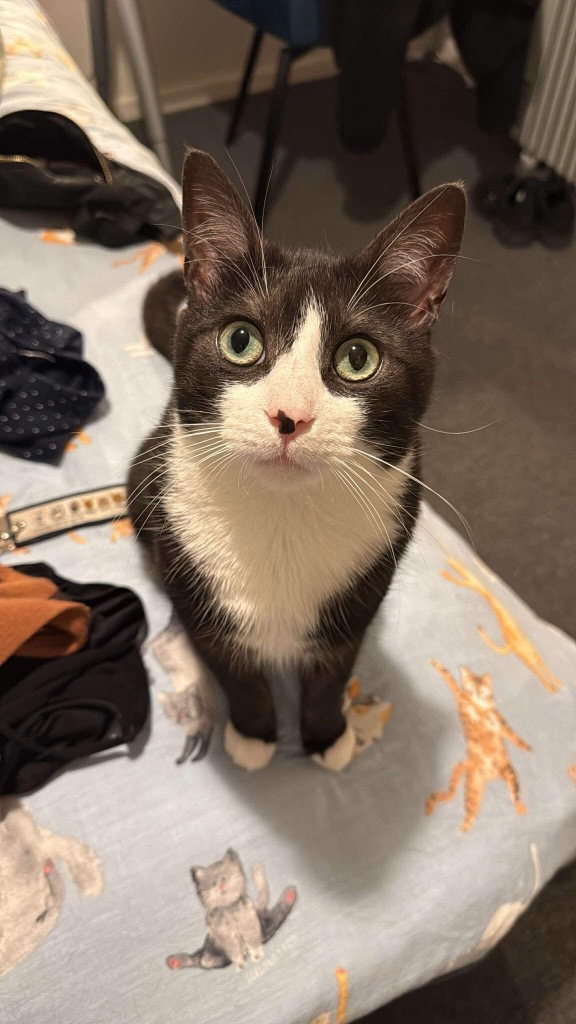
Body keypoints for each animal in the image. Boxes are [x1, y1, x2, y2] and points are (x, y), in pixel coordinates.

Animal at [128, 148, 466, 772]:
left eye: (358, 358)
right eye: (240, 340)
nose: (290, 415)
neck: (283, 518)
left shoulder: (362, 589)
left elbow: (332, 673)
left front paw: (327, 735)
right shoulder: (195, 582)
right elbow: (235, 672)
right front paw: (255, 734)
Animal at [166, 848, 296, 970]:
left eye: (224, 877)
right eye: (213, 883)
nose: (221, 885)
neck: (229, 909)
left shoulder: (250, 924)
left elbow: (253, 941)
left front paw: (257, 955)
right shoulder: (224, 935)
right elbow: (234, 950)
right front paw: (240, 964)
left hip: (265, 924)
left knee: (277, 914)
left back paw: (289, 894)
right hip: (211, 952)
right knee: (199, 960)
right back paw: (174, 962)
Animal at [425, 661, 531, 832]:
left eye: (480, 690)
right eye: (471, 688)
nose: (475, 694)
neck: (478, 707)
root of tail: (492, 775)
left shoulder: (500, 723)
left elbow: (513, 736)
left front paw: (526, 747)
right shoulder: (463, 700)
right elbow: (452, 681)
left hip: (508, 772)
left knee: (514, 794)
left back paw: (520, 808)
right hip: (472, 789)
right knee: (470, 811)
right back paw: (462, 829)